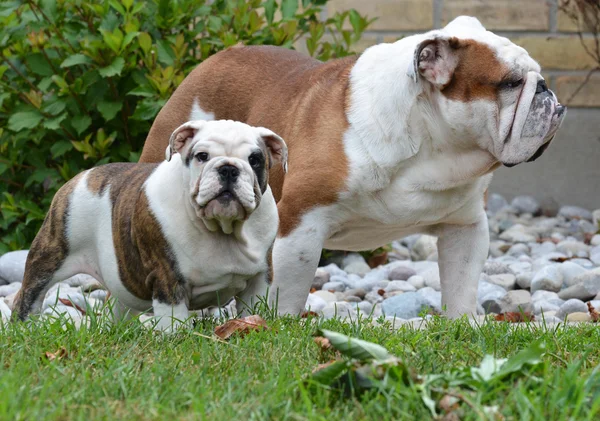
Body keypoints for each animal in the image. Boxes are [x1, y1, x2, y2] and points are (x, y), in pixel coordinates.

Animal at [12, 119, 288, 332]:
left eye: (255, 160)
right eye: (202, 156)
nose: (229, 168)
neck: (222, 228)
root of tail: (83, 177)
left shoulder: (258, 280)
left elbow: (253, 311)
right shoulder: (168, 280)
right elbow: (174, 322)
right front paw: (177, 339)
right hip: (48, 257)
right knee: (27, 298)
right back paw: (24, 329)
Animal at [139, 17, 568, 318]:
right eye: (511, 83)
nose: (546, 89)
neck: (432, 144)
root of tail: (212, 61)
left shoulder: (465, 228)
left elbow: (462, 286)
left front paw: (462, 327)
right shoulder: (301, 224)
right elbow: (290, 290)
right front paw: (276, 329)